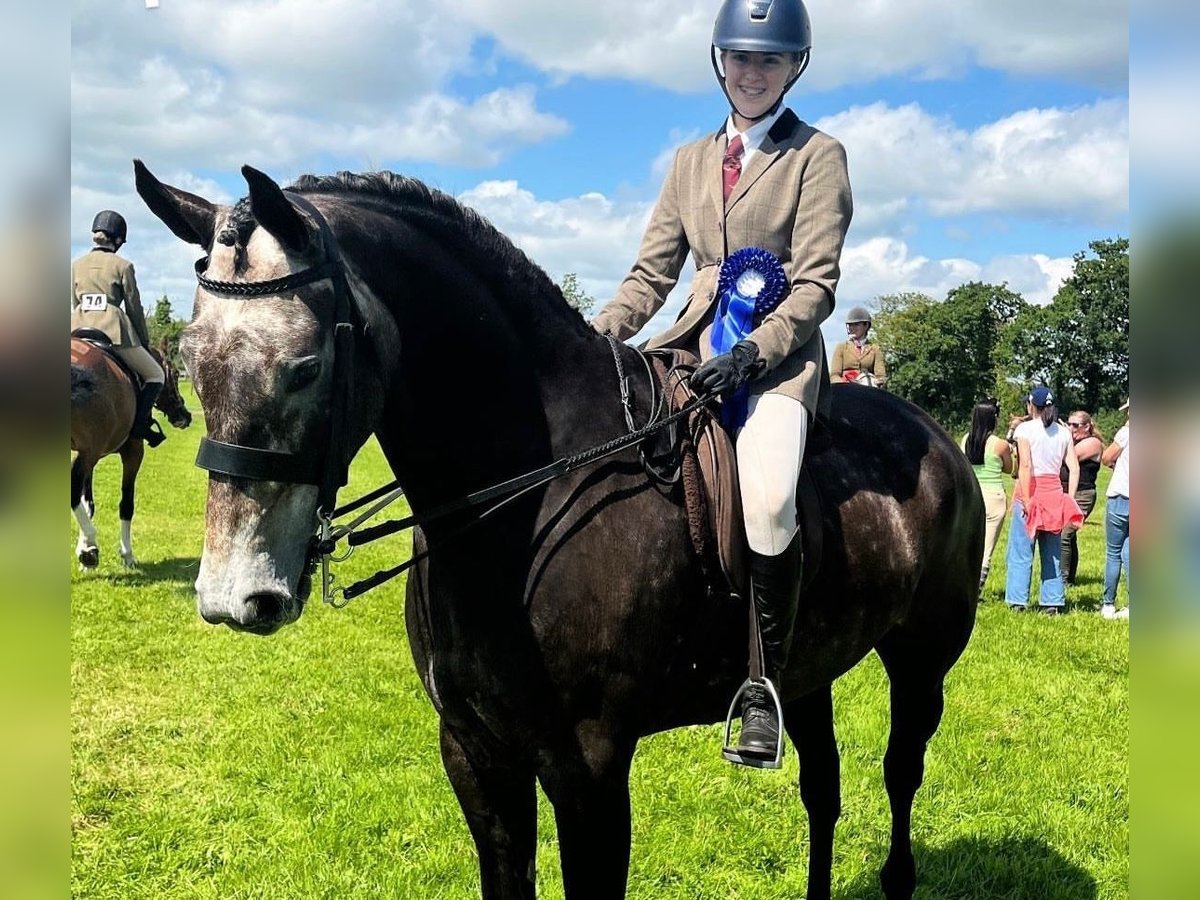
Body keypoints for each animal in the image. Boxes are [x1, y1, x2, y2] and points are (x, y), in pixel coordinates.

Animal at [71, 338, 192, 571]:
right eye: (174, 373)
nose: (185, 416)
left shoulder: (90, 458)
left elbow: (88, 504)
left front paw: (86, 550)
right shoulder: (132, 451)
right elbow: (126, 504)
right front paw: (123, 554)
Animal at [136, 162, 979, 900]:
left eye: (306, 365)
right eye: (191, 361)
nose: (235, 598)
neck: (524, 501)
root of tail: (941, 442)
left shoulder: (589, 765)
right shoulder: (474, 752)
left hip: (921, 663)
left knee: (901, 773)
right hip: (805, 672)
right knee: (822, 791)